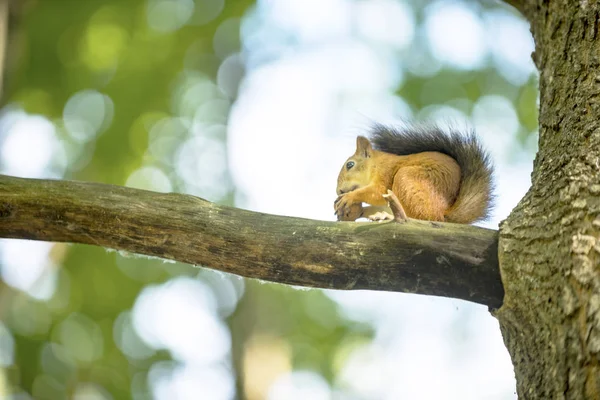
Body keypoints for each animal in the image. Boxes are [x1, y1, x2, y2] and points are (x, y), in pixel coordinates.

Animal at [332, 124, 492, 223]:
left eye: (350, 164)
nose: (339, 191)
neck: (376, 165)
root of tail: (443, 214)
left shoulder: (385, 175)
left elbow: (376, 192)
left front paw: (349, 197)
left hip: (406, 179)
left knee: (422, 217)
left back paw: (388, 217)